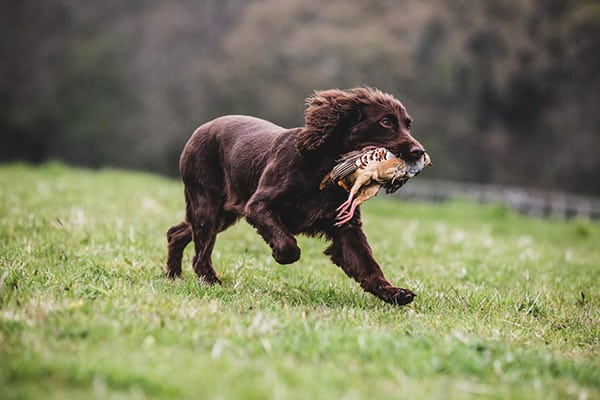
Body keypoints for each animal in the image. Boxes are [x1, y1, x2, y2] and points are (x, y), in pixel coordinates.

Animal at [166, 87, 424, 304]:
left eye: (408, 125)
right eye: (386, 122)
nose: (419, 152)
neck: (322, 168)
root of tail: (200, 129)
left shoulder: (346, 227)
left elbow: (368, 265)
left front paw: (394, 293)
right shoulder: (258, 205)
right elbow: (289, 244)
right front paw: (281, 256)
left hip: (223, 213)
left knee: (176, 233)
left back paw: (173, 275)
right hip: (207, 204)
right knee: (200, 255)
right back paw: (211, 281)